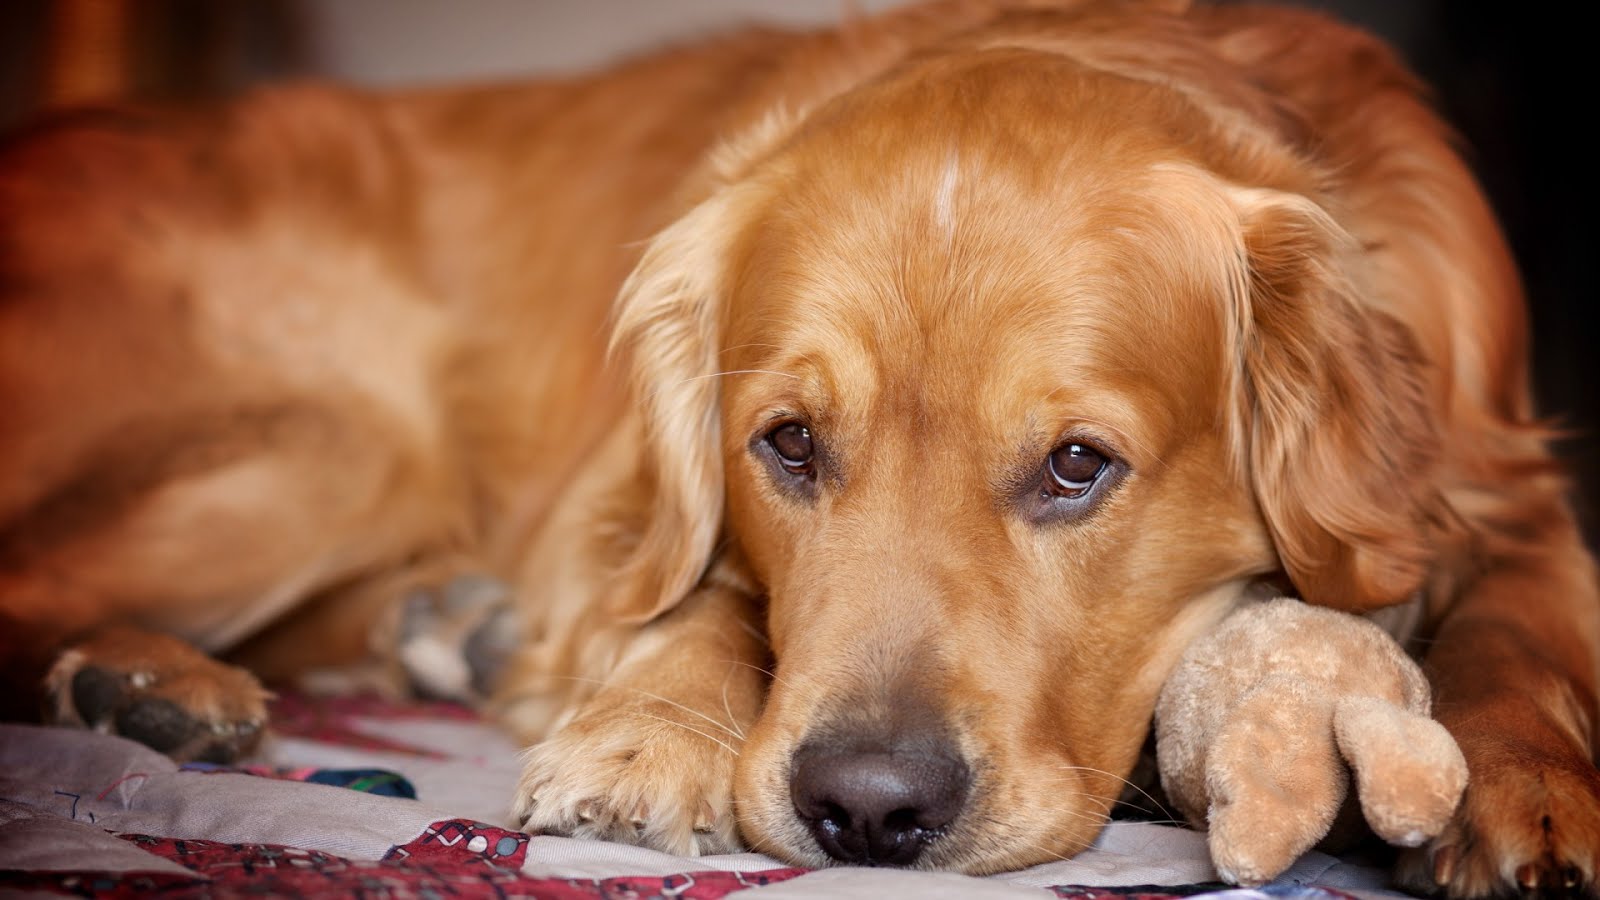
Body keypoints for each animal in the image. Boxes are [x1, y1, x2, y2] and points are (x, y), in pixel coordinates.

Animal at [0, 1, 1593, 896]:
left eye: (1077, 465)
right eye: (787, 444)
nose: (870, 809)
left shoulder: (1503, 474)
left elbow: (1527, 622)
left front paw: (1518, 785)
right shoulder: (612, 520)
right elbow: (694, 589)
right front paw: (653, 730)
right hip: (336, 444)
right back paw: (155, 684)